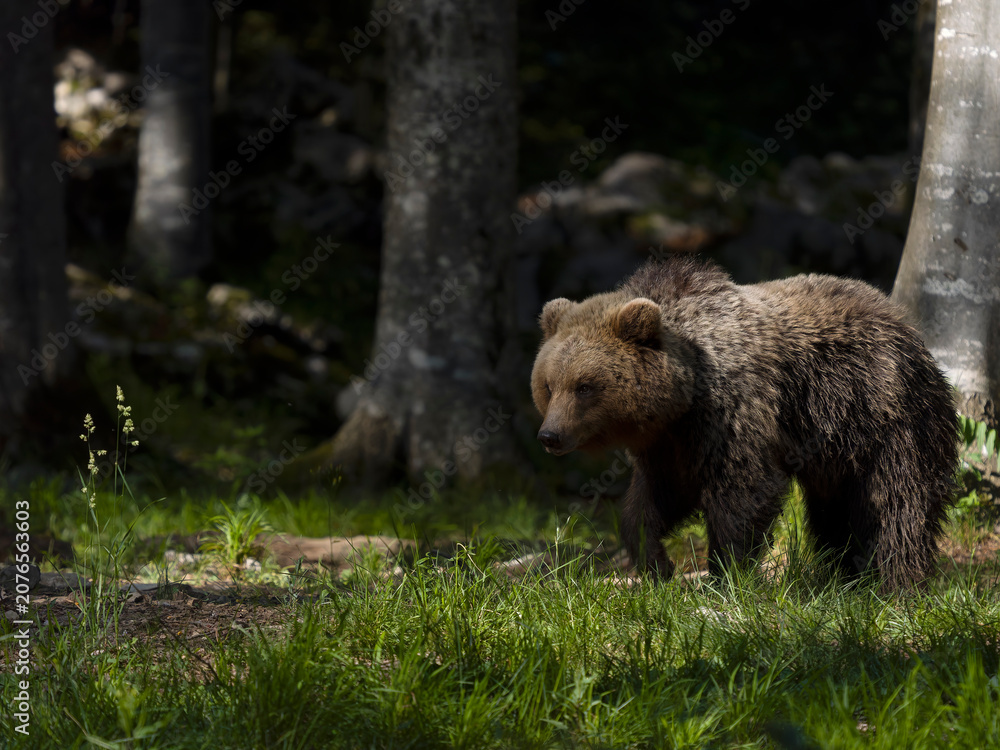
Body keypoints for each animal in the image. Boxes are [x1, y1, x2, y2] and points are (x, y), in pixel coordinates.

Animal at [531, 256, 958, 591]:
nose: (550, 436)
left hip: (882, 410)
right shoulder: (669, 444)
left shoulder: (733, 412)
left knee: (897, 501)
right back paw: (845, 575)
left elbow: (743, 490)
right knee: (834, 510)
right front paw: (657, 563)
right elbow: (654, 500)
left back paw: (896, 582)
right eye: (549, 385)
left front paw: (725, 573)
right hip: (835, 448)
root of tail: (904, 322)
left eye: (585, 386)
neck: (684, 397)